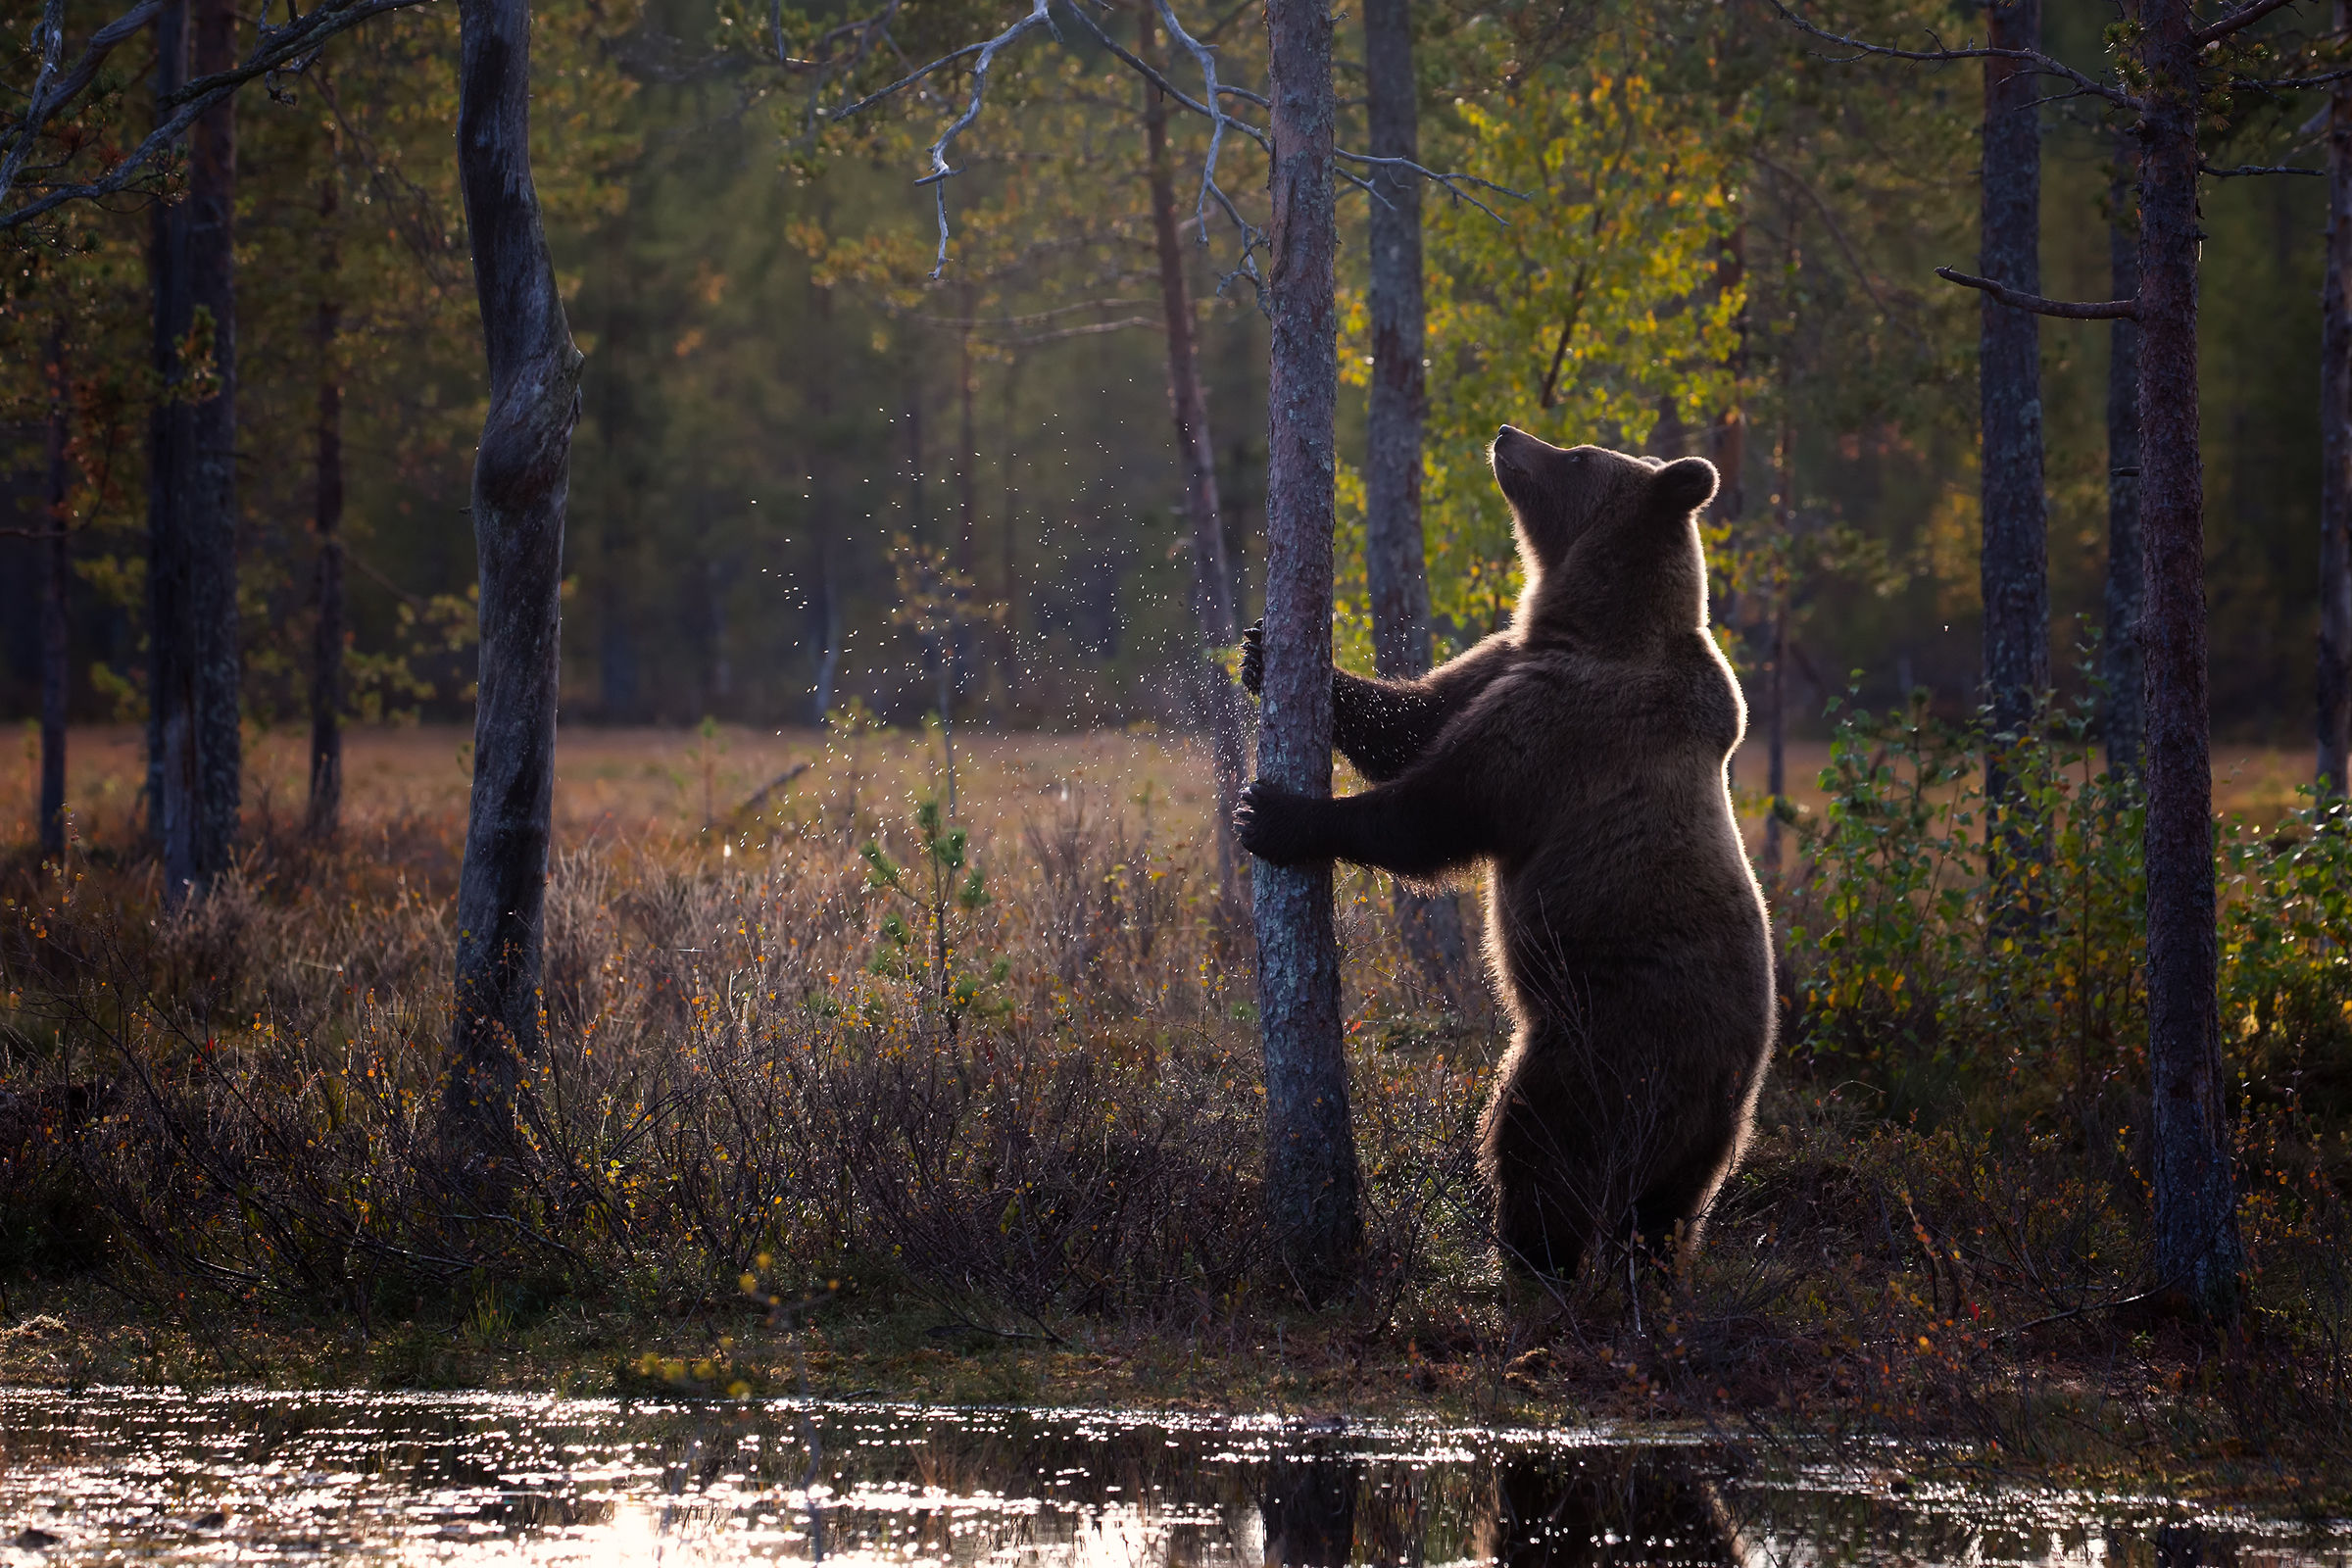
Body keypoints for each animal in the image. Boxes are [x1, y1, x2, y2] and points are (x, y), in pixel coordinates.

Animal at [1235, 426, 1775, 1282]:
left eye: (1581, 455)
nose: (1507, 435)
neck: (1592, 625)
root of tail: (1738, 1075)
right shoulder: (1504, 662)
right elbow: (1412, 721)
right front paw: (1266, 654)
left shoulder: (1565, 727)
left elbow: (1437, 810)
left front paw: (1276, 815)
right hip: (1700, 1133)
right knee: (1664, 1211)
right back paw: (1644, 1274)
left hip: (1595, 1040)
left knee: (1536, 1145)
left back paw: (1525, 1261)